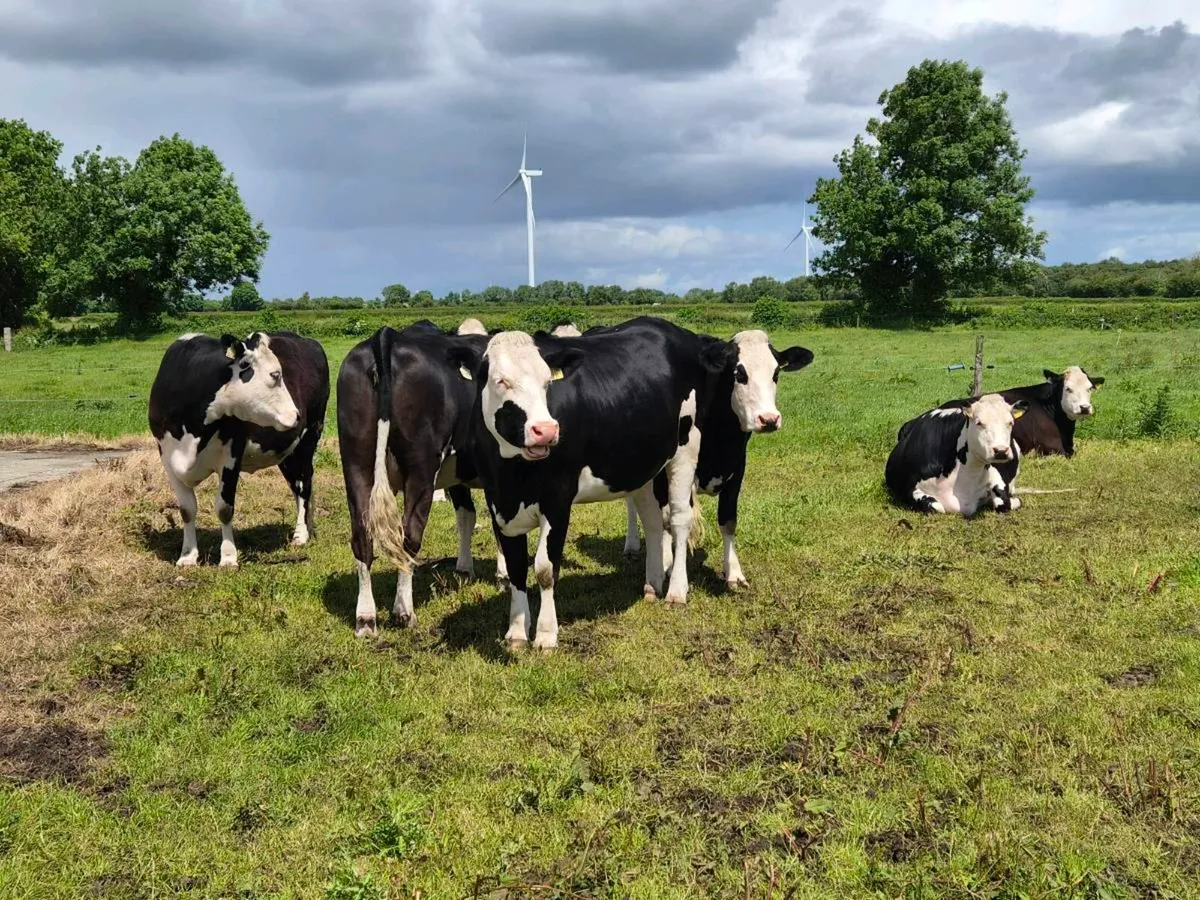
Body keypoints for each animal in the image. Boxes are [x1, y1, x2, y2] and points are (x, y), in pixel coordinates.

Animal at [148, 331, 329, 568]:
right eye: (275, 375)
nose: (297, 415)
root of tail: (306, 340)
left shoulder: (231, 455)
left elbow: (224, 508)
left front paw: (228, 557)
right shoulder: (168, 458)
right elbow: (187, 510)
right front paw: (187, 556)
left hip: (309, 438)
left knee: (305, 485)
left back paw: (301, 535)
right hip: (287, 453)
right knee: (297, 486)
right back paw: (308, 526)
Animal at [338, 322, 509, 637]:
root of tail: (386, 337)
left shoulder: (458, 473)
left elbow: (466, 516)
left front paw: (464, 569)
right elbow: (498, 523)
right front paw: (503, 576)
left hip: (356, 462)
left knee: (362, 538)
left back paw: (366, 619)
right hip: (420, 470)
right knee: (409, 537)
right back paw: (404, 612)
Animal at [433, 317, 741, 651]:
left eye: (547, 382)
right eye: (500, 381)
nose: (546, 430)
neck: (513, 472)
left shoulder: (558, 500)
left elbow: (545, 568)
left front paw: (546, 635)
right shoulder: (499, 502)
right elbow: (515, 567)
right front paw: (516, 632)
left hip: (686, 448)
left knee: (680, 519)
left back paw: (676, 590)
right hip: (644, 465)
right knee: (652, 520)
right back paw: (652, 583)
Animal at [621, 329, 814, 590]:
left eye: (776, 373)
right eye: (739, 373)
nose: (769, 419)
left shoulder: (737, 467)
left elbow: (728, 520)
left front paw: (734, 572)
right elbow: (666, 518)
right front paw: (666, 564)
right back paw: (632, 544)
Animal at [885, 393, 1030, 516]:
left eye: (1010, 422)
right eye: (979, 422)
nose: (1001, 451)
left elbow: (1005, 503)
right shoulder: (908, 489)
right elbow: (935, 507)